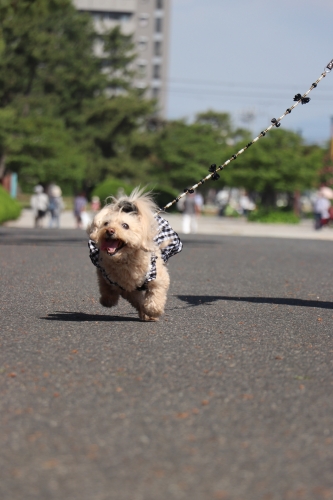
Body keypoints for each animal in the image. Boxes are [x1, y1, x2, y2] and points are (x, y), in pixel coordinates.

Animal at [87, 188, 182, 320]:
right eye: (106, 223)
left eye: (125, 226)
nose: (109, 231)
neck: (126, 260)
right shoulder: (127, 288)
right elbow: (137, 300)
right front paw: (145, 312)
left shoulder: (158, 278)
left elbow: (156, 293)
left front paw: (153, 311)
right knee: (104, 284)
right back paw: (107, 300)